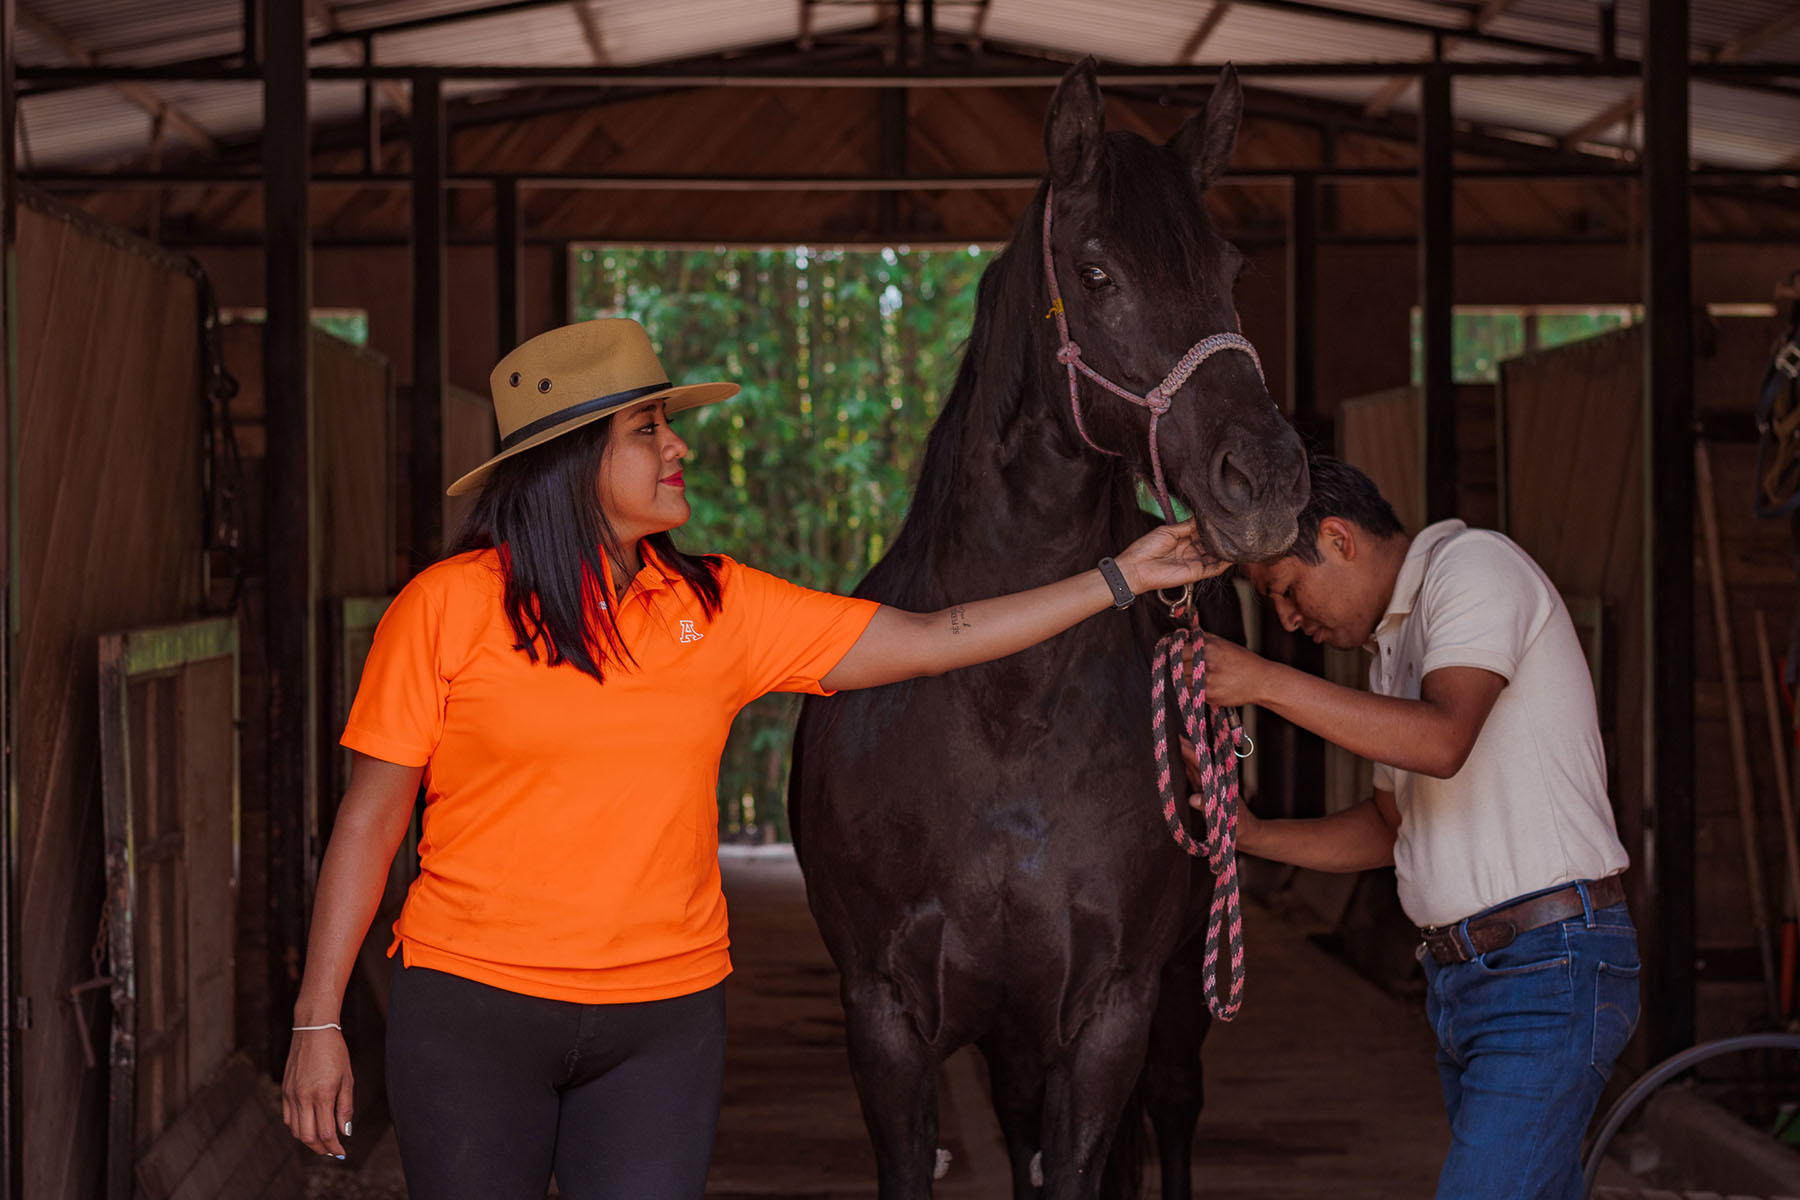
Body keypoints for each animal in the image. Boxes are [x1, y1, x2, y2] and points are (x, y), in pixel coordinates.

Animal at [788, 58, 1310, 1200]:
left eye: (1233, 266)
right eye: (1098, 270)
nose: (1266, 482)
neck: (1003, 708)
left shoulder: (1110, 1013)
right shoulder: (885, 1017)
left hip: (1172, 1003)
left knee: (1171, 1115)